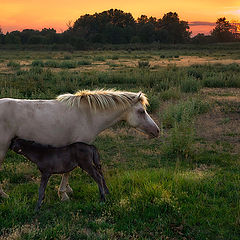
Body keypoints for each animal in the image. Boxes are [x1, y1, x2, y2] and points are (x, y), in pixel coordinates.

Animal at [0, 89, 159, 200]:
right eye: (141, 111)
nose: (157, 131)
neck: (88, 115)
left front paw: (67, 190)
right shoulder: (77, 149)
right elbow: (68, 171)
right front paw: (63, 194)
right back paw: (4, 195)